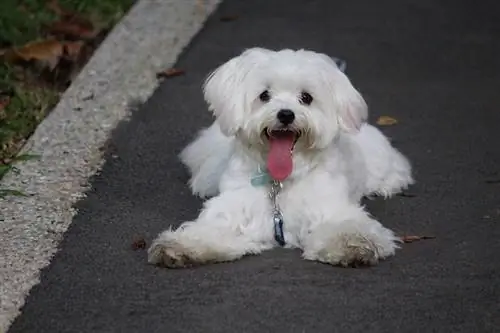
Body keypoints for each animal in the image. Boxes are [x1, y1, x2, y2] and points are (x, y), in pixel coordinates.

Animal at [148, 48, 414, 268]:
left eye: (306, 97)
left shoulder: (328, 207)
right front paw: (181, 246)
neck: (281, 181)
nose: (286, 114)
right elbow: (210, 230)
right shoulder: (236, 210)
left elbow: (345, 227)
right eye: (264, 95)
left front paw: (353, 243)